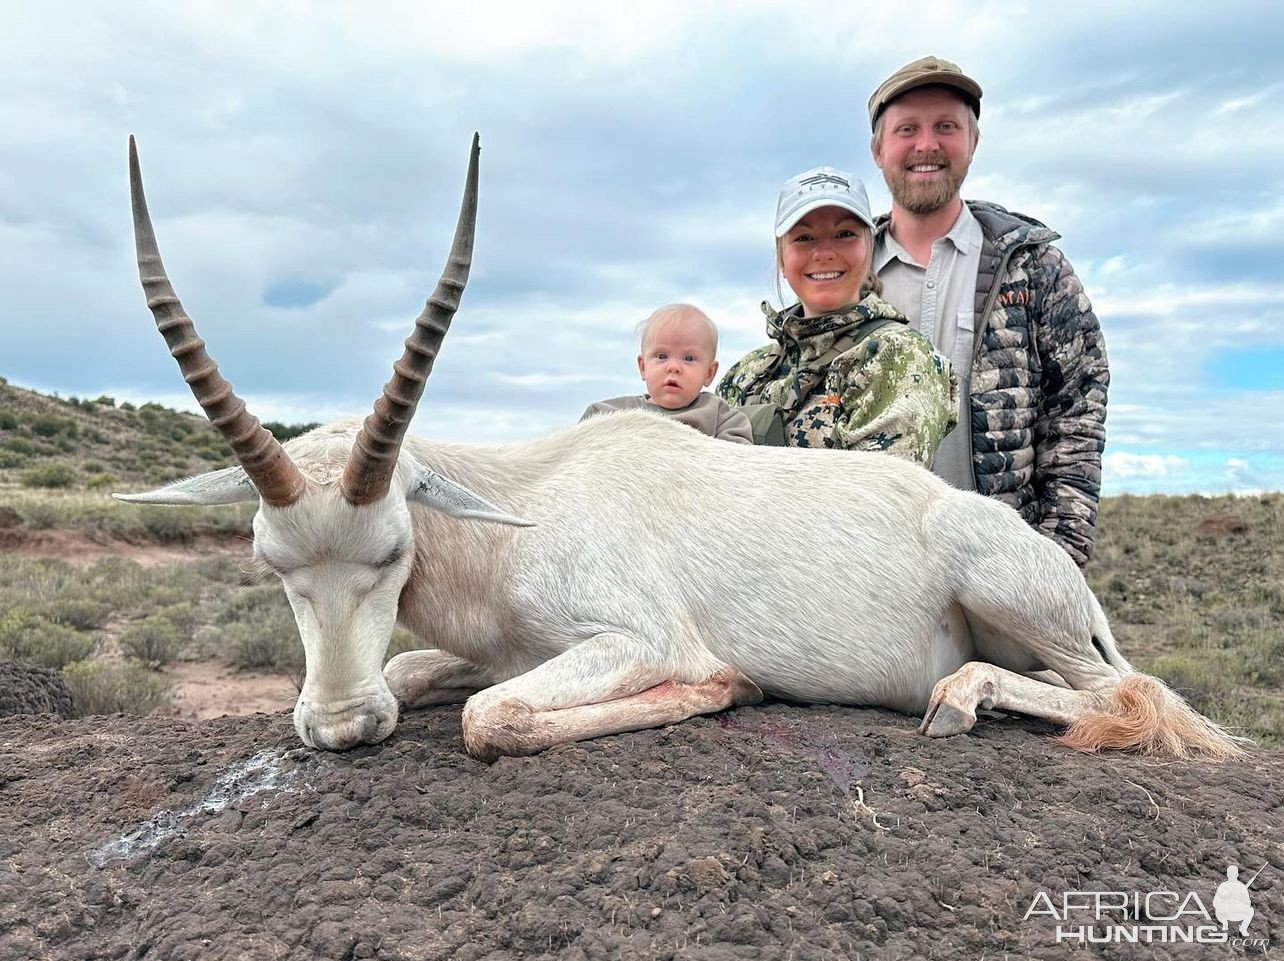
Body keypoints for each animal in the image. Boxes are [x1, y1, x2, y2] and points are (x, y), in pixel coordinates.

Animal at [120, 138, 1242, 760]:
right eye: (271, 562)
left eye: (392, 549)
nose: (341, 727)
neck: (522, 507)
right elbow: (421, 671)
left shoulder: (634, 640)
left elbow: (492, 716)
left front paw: (727, 686)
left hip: (1017, 601)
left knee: (1133, 694)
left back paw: (960, 700)